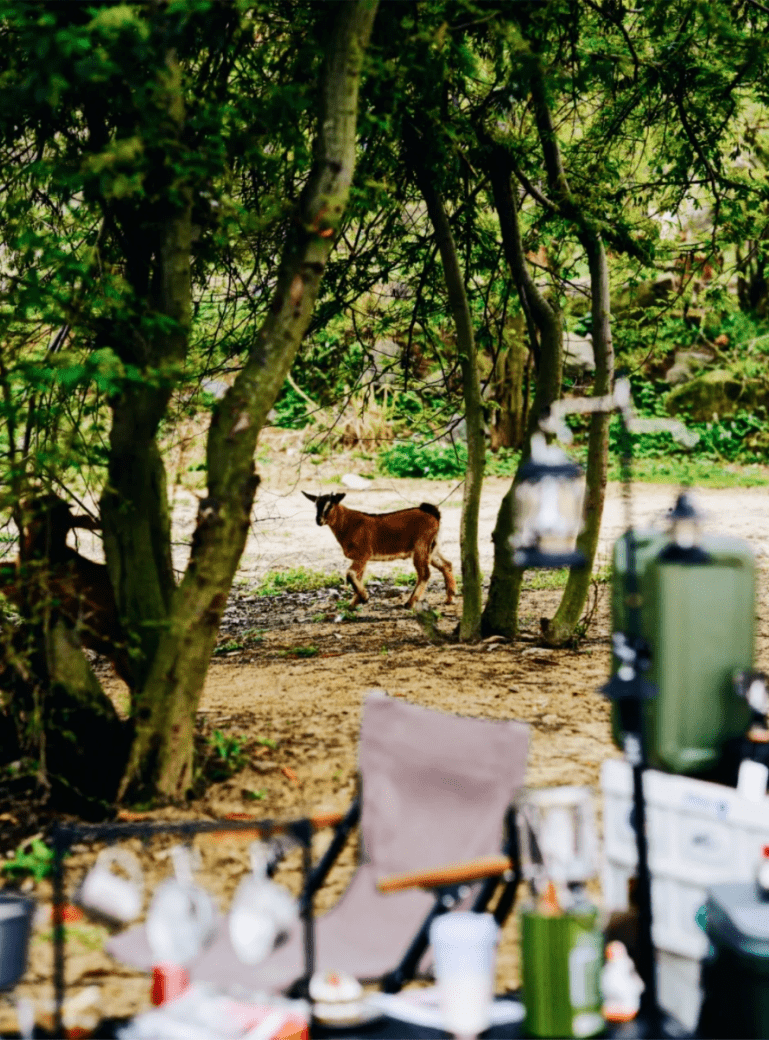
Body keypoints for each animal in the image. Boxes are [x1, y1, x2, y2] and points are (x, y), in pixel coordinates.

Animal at [301, 492, 457, 607]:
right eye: (316, 505)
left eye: (330, 505)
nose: (319, 520)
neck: (348, 524)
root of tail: (434, 515)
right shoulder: (361, 558)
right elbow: (358, 576)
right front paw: (354, 603)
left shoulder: (363, 554)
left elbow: (350, 574)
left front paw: (364, 597)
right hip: (432, 547)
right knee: (446, 564)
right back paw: (449, 598)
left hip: (421, 545)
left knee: (425, 573)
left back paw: (409, 603)